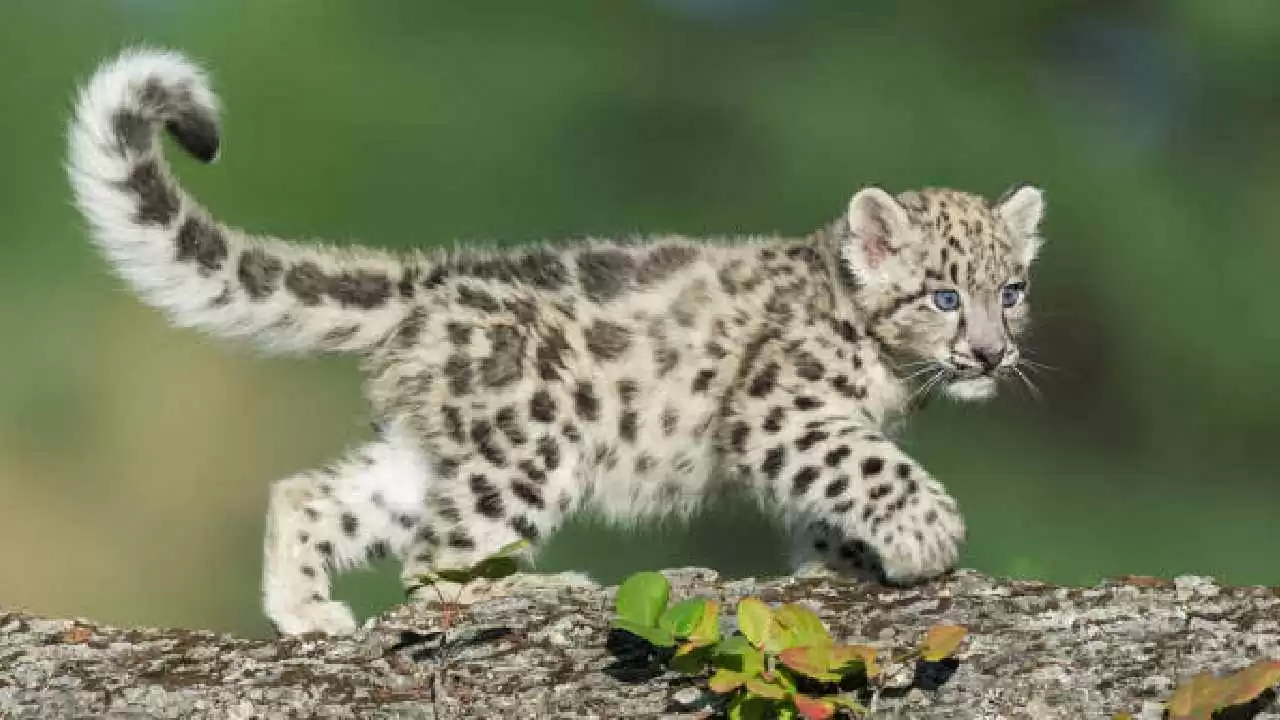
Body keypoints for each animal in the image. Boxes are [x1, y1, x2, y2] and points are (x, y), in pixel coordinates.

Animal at [67, 49, 1047, 636]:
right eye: (944, 295)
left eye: (1012, 291)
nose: (991, 354)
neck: (892, 375)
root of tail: (429, 281)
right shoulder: (786, 410)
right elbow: (867, 466)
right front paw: (927, 535)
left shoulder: (815, 427)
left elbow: (832, 496)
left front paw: (842, 564)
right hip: (530, 446)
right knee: (438, 563)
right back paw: (544, 590)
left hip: (442, 450)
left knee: (317, 497)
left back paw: (307, 614)